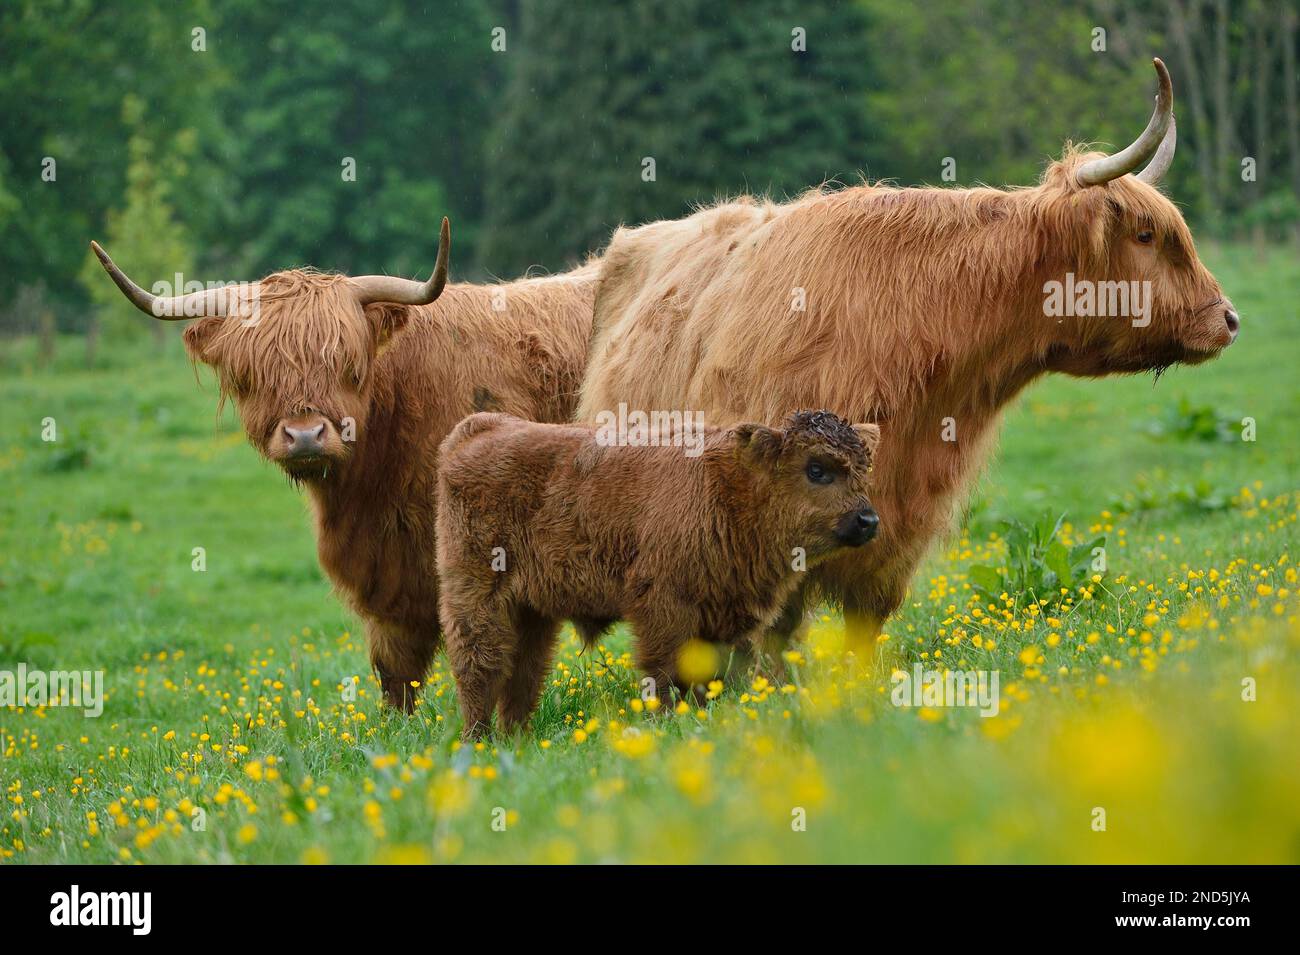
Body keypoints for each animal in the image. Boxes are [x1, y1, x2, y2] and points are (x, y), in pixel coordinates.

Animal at [91, 218, 598, 712]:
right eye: (252, 374)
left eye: (346, 365)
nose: (304, 436)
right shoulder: (388, 571)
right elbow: (396, 668)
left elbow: (504, 657)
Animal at [439, 407, 883, 738]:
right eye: (816, 469)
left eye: (863, 469)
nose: (868, 520)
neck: (729, 486)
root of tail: (476, 429)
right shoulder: (663, 607)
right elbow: (664, 670)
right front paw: (666, 721)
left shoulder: (726, 614)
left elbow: (718, 672)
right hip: (476, 596)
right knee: (480, 666)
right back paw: (478, 741)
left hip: (531, 611)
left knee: (524, 673)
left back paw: (516, 738)